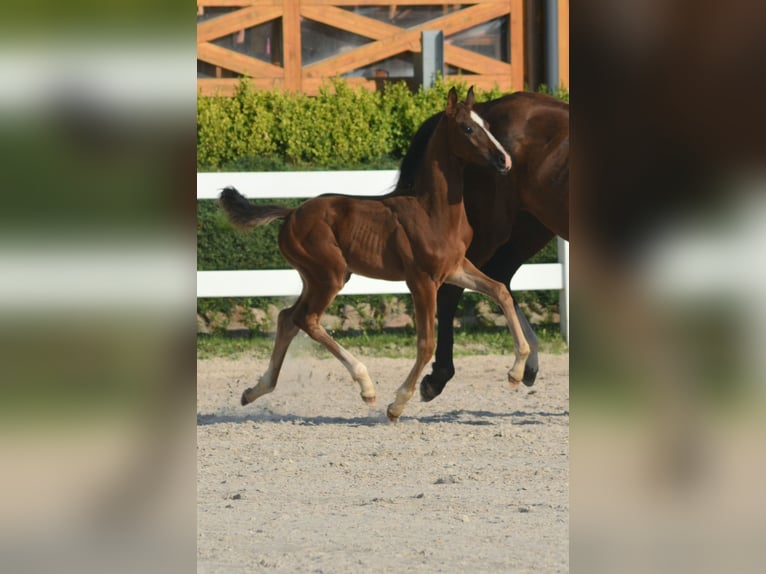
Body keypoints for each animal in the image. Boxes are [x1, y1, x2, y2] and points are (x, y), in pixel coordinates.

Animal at [219, 90, 532, 424]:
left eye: (487, 124)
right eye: (467, 128)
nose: (504, 161)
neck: (433, 211)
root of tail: (291, 213)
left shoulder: (455, 268)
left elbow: (500, 291)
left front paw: (516, 372)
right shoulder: (421, 281)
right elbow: (426, 343)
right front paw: (397, 404)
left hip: (317, 277)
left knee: (287, 318)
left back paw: (255, 391)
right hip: (329, 275)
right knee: (306, 319)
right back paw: (366, 386)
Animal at [392, 92, 572, 402]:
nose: (503, 160)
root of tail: (484, 106)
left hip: (530, 228)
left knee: (500, 279)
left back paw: (527, 362)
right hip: (493, 229)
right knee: (454, 289)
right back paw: (437, 378)